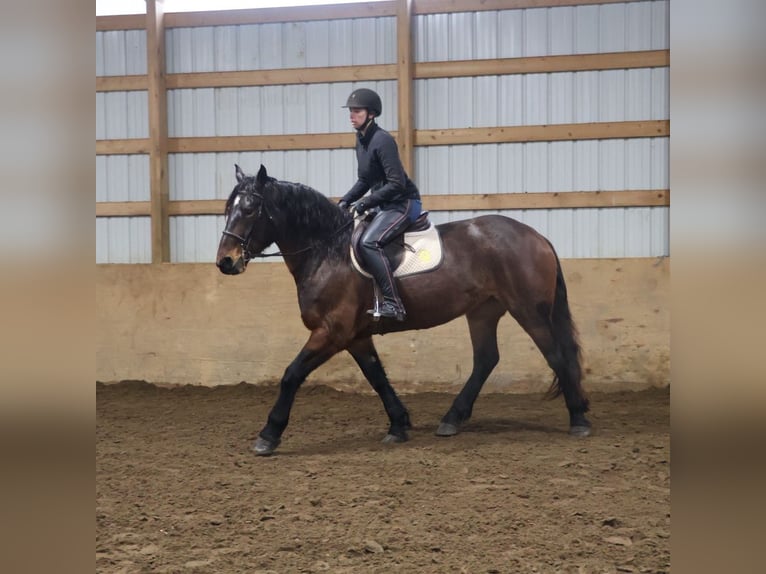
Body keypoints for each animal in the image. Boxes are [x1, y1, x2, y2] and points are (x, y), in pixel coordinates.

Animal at [216, 164, 591, 455]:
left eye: (250, 209)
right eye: (228, 207)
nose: (225, 262)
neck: (327, 252)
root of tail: (536, 236)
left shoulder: (331, 332)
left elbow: (291, 375)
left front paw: (268, 435)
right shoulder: (355, 336)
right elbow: (377, 377)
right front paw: (398, 424)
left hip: (529, 310)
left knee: (556, 355)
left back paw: (579, 419)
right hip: (483, 312)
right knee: (486, 359)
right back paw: (451, 419)